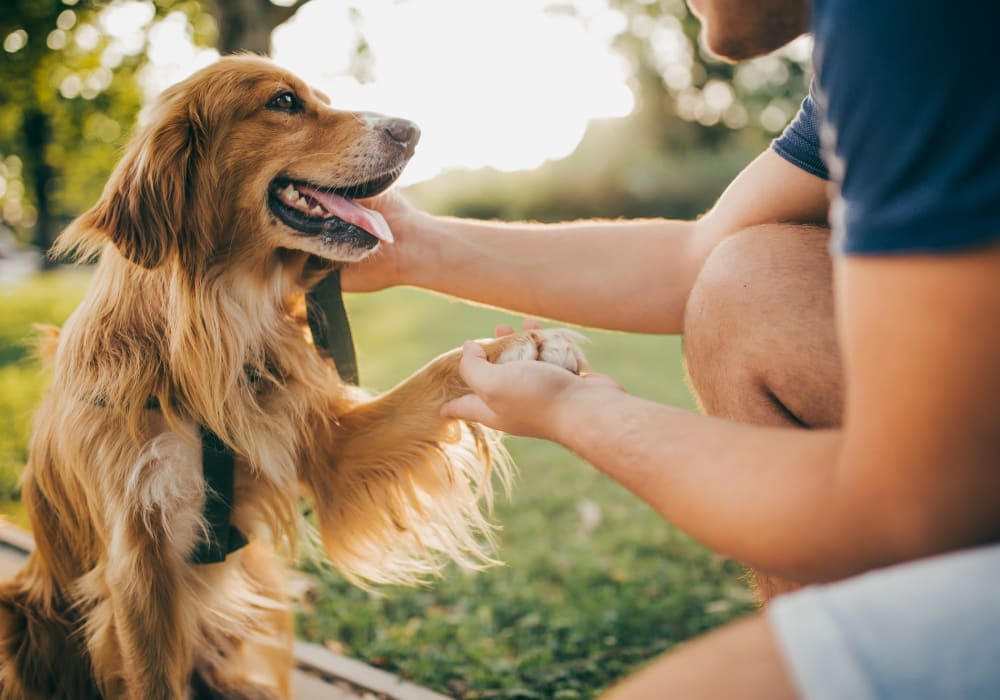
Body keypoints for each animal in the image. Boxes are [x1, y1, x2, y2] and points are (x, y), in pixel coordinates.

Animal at [0, 56, 584, 700]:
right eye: (283, 102)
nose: (412, 130)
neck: (213, 330)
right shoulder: (138, 566)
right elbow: (154, 679)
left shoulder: (326, 448)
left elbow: (436, 375)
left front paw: (521, 349)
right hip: (20, 610)